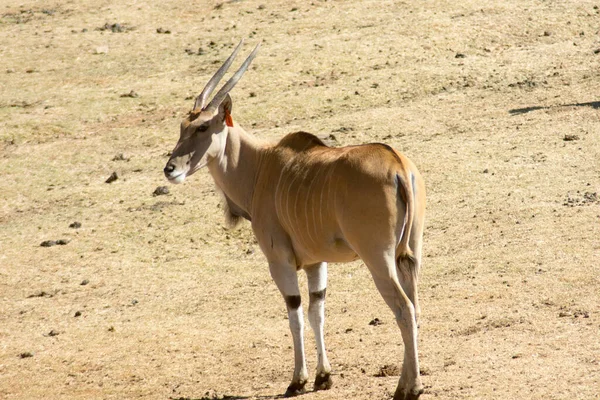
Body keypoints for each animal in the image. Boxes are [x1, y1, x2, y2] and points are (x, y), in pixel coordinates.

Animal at [163, 41, 426, 400]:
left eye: (203, 126)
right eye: (182, 127)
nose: (170, 169)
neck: (260, 167)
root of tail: (398, 165)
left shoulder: (280, 261)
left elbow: (295, 313)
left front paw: (297, 380)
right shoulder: (317, 262)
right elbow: (317, 311)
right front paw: (323, 376)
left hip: (378, 259)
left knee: (403, 308)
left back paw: (408, 388)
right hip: (408, 254)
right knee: (415, 306)